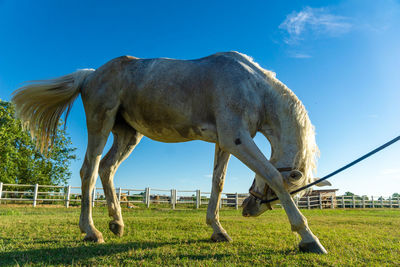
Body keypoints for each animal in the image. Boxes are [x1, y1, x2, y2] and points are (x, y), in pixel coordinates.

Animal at [13, 51, 332, 254]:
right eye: (295, 188)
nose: (247, 209)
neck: (251, 86)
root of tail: (90, 74)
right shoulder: (237, 139)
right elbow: (271, 175)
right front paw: (308, 238)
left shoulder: (224, 143)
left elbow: (217, 184)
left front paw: (217, 230)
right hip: (100, 125)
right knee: (89, 171)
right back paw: (92, 231)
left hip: (128, 134)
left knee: (106, 168)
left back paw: (117, 223)